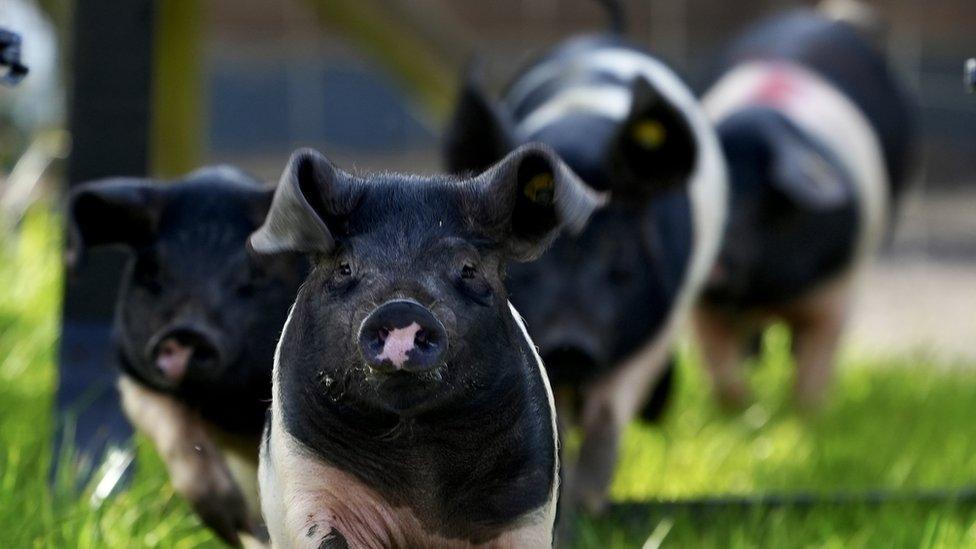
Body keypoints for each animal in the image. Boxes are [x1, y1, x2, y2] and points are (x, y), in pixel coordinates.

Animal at [68, 167, 306, 544]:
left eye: (253, 272)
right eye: (151, 272)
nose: (186, 332)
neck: (232, 409)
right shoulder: (137, 380)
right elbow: (175, 431)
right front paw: (231, 522)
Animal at [696, 1, 920, 406]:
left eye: (756, 200)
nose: (712, 263)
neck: (764, 289)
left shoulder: (835, 292)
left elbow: (813, 374)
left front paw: (803, 417)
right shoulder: (703, 305)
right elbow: (722, 372)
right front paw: (744, 410)